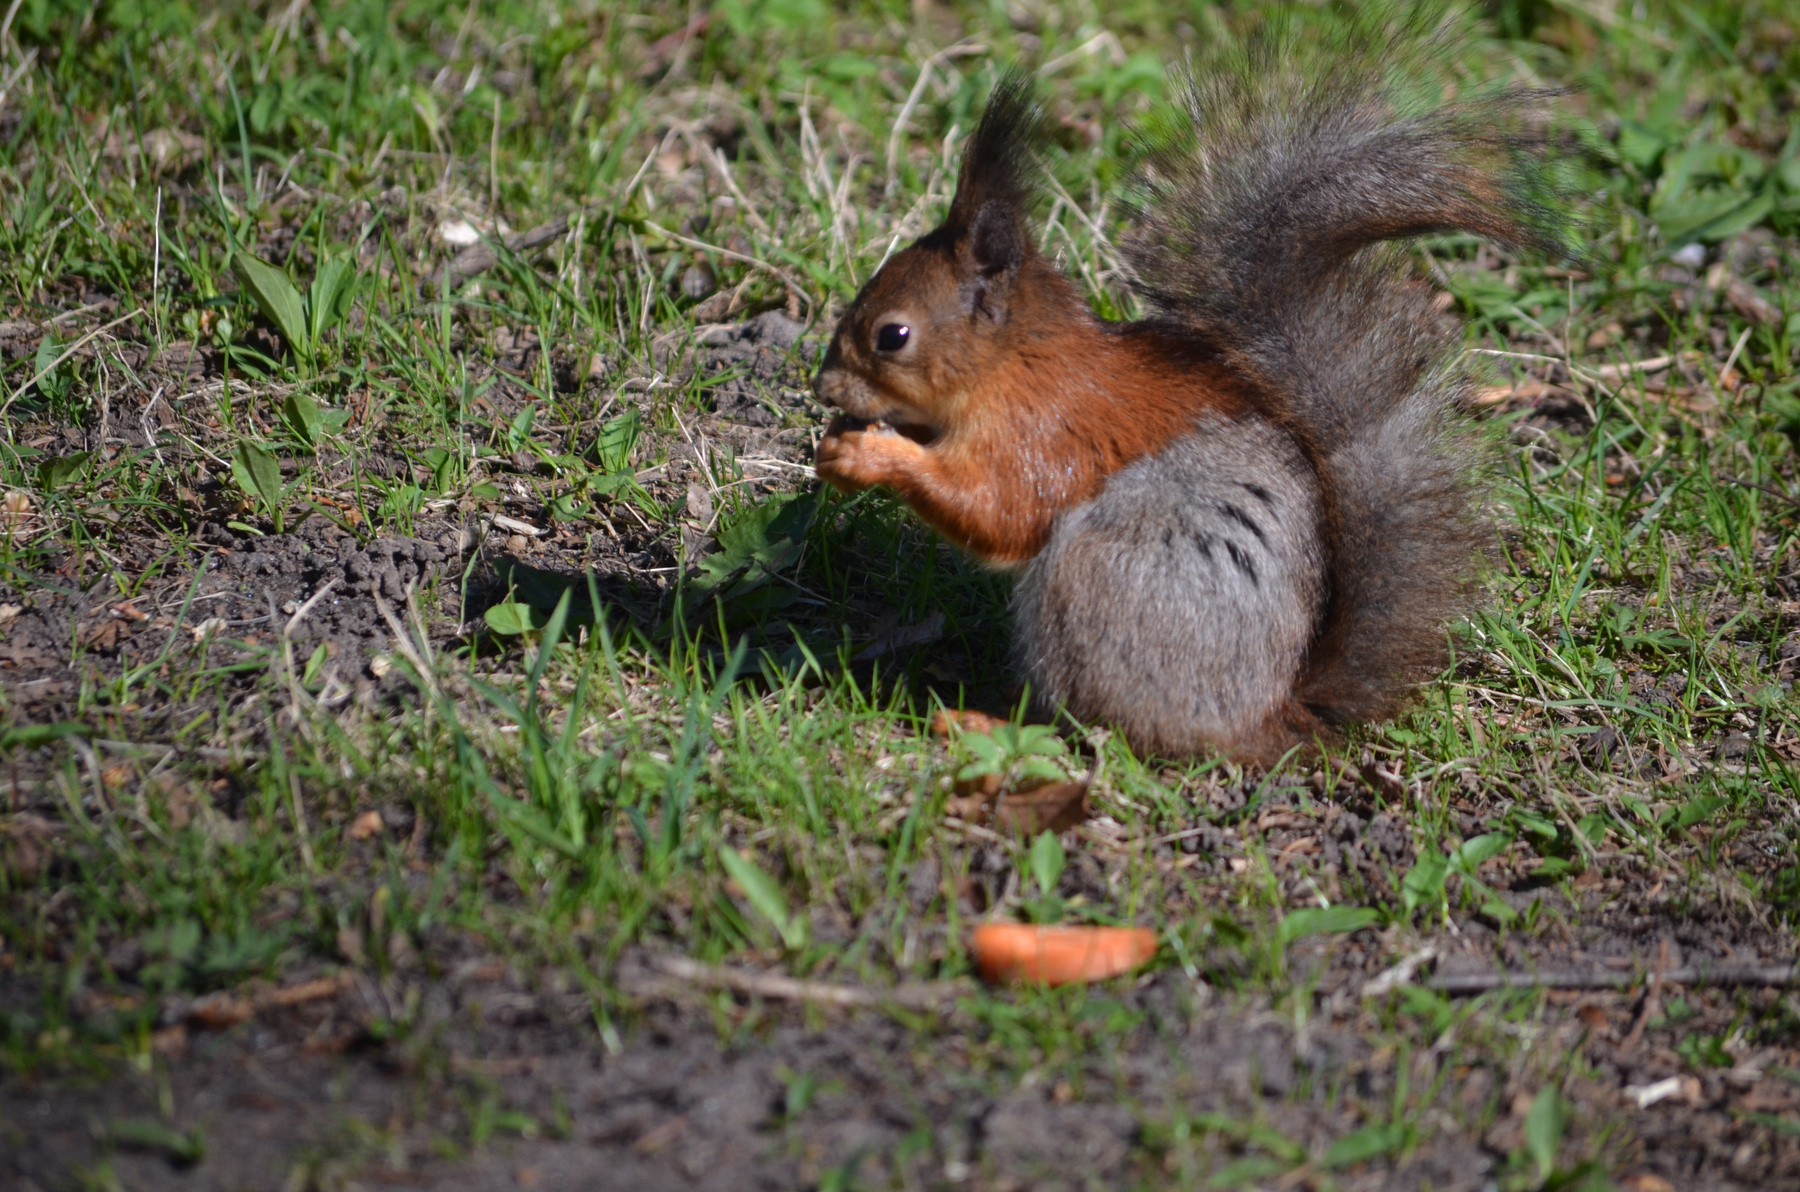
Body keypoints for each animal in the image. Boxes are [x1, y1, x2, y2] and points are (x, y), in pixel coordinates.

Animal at [812, 39, 1563, 763]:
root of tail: (1268, 717)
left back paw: (981, 722)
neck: (1013, 364)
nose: (824, 388)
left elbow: (997, 510)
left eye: (892, 336)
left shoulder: (1041, 432)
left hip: (1094, 583)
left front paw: (872, 456)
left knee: (1089, 727)